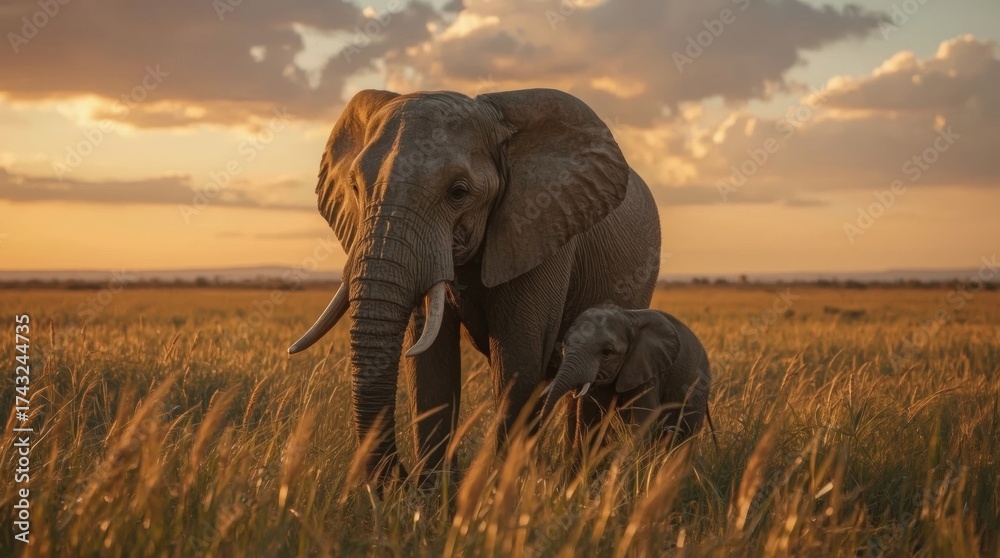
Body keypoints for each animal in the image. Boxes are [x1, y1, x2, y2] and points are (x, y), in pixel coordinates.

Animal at [287, 88, 661, 484]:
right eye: (356, 188)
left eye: (458, 192)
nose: (399, 476)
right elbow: (430, 361)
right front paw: (432, 493)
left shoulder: (541, 227)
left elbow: (517, 358)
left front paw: (502, 489)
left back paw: (579, 477)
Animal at [540, 305, 713, 445]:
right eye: (564, 346)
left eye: (607, 352)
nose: (540, 423)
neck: (628, 317)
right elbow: (588, 418)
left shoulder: (647, 367)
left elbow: (644, 417)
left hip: (697, 388)